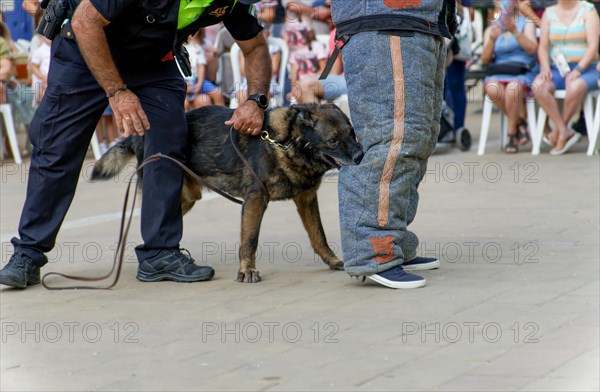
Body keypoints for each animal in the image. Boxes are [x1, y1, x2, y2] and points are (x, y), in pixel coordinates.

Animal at [92, 104, 364, 282]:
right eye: (333, 140)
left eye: (352, 134)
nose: (361, 155)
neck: (286, 143)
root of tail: (137, 136)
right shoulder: (256, 200)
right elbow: (250, 240)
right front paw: (247, 271)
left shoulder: (306, 199)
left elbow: (319, 236)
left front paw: (332, 261)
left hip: (186, 198)